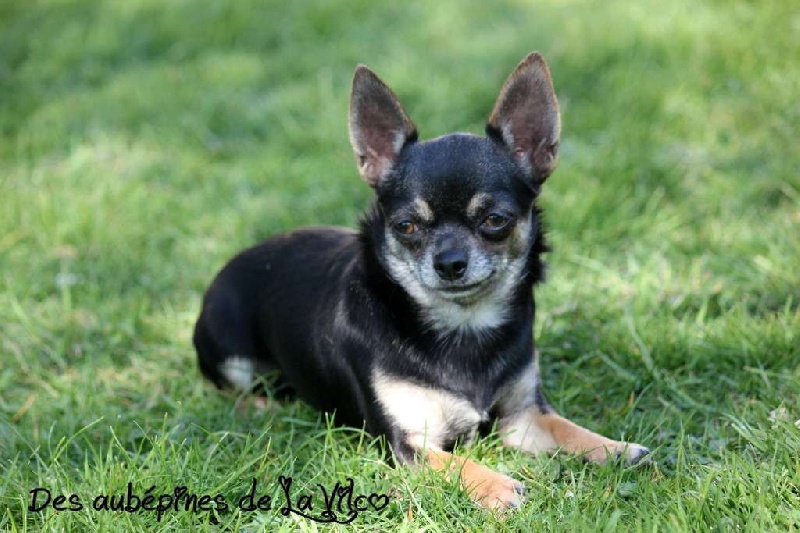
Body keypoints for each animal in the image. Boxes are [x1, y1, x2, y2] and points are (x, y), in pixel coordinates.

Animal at [193, 51, 649, 511]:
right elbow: (460, 464)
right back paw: (263, 407)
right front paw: (499, 486)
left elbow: (565, 428)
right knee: (228, 390)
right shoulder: (411, 442)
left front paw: (614, 447)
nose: (449, 262)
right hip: (233, 357)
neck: (463, 328)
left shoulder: (523, 417)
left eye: (494, 220)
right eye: (407, 226)